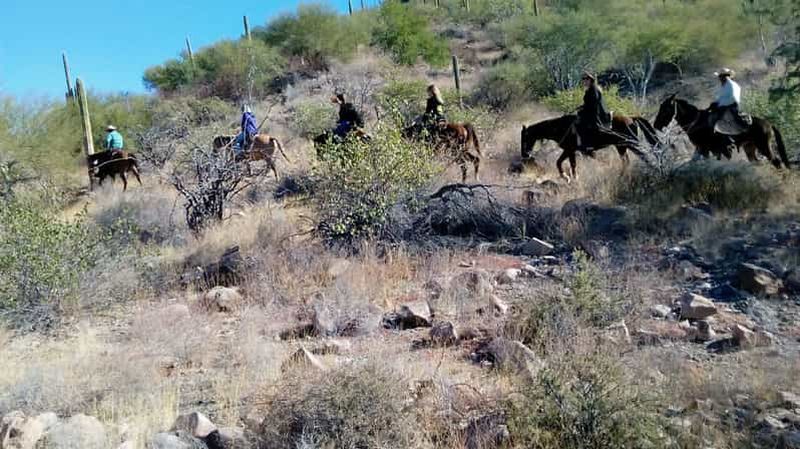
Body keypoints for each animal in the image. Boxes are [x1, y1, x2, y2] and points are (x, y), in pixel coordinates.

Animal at [520, 114, 658, 182]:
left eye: (525, 138)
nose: (524, 155)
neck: (561, 127)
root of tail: (631, 118)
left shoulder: (570, 150)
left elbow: (566, 163)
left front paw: (569, 177)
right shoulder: (570, 150)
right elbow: (563, 163)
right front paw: (568, 177)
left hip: (630, 144)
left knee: (642, 156)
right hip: (623, 146)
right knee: (626, 161)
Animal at [653, 95, 790, 168]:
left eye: (665, 109)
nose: (656, 125)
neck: (697, 122)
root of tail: (769, 124)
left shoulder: (709, 149)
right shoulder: (703, 150)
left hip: (764, 146)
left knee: (776, 161)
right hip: (749, 148)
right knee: (758, 161)